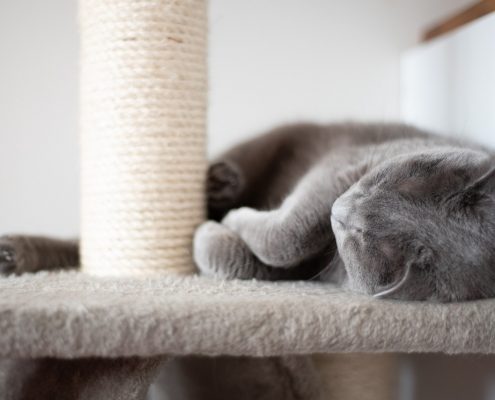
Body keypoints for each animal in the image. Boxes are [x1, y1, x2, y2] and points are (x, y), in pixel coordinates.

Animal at [0, 123, 495, 302]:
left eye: (361, 239)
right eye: (388, 180)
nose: (342, 209)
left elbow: (256, 258)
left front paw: (211, 232)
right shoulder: (344, 163)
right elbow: (291, 231)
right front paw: (230, 217)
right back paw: (221, 184)